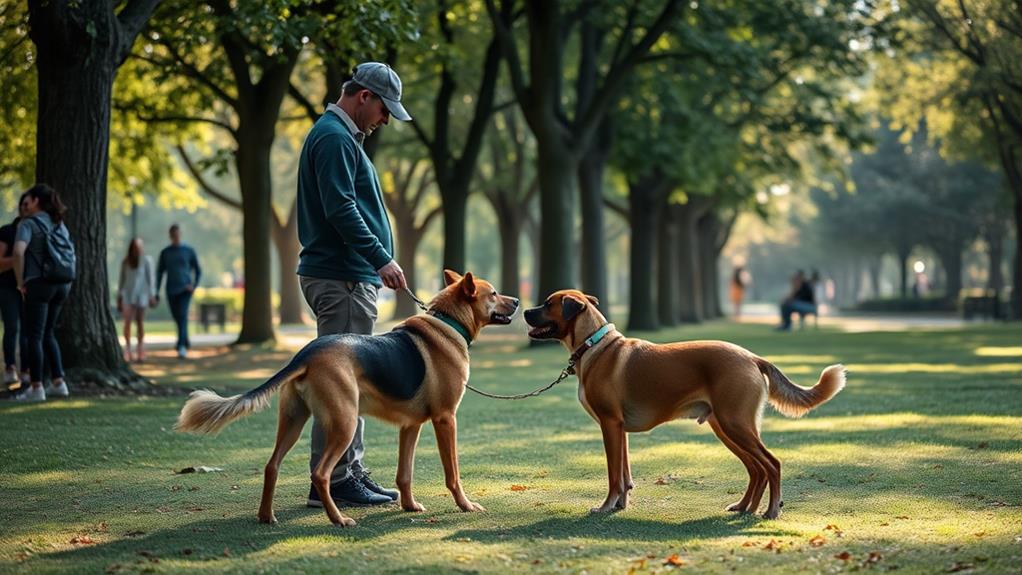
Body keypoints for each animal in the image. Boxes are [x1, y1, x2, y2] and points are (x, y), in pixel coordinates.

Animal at [174, 271, 519, 526]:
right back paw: (338, 519)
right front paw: (465, 505)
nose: (516, 301)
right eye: (493, 293)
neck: (449, 321)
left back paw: (266, 516)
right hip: (345, 422)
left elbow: (404, 475)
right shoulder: (446, 420)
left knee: (272, 466)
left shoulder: (410, 426)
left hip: (293, 421)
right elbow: (453, 475)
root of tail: (307, 353)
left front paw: (408, 505)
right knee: (321, 473)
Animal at [523, 290, 842, 518]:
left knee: (771, 464)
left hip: (735, 425)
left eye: (548, 303)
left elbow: (614, 475)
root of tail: (752, 357)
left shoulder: (610, 425)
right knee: (756, 469)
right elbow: (624, 474)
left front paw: (606, 506)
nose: (523, 310)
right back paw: (745, 507)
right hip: (728, 428)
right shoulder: (620, 430)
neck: (594, 345)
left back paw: (771, 510)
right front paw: (621, 504)